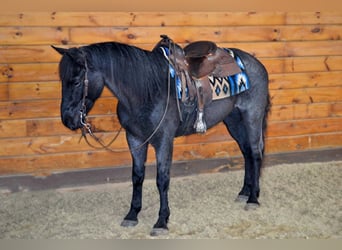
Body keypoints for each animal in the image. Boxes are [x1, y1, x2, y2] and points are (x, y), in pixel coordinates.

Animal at [51, 35, 270, 236]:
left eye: (76, 81)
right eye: (62, 80)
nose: (68, 119)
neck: (147, 90)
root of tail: (258, 64)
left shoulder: (164, 141)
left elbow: (162, 179)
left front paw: (161, 221)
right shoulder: (135, 139)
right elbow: (137, 176)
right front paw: (132, 214)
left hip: (252, 116)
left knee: (255, 152)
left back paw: (253, 198)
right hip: (233, 120)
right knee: (247, 152)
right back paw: (244, 192)